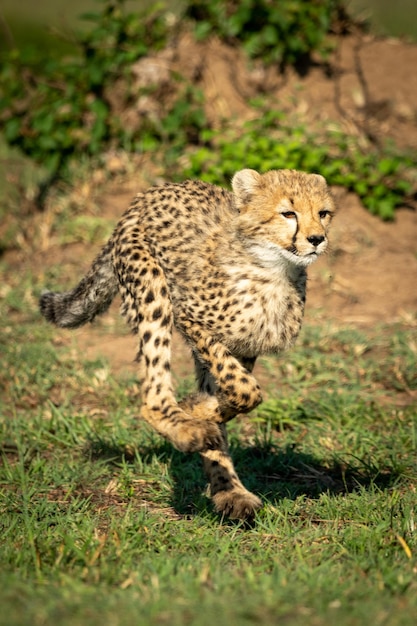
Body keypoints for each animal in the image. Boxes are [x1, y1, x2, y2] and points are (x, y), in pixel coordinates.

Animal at [39, 167, 334, 516]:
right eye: (288, 213)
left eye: (323, 213)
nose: (317, 239)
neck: (273, 270)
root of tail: (148, 195)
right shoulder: (190, 320)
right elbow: (246, 390)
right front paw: (194, 412)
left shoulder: (245, 346)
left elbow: (238, 394)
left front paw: (199, 407)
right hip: (152, 286)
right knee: (153, 396)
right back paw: (187, 431)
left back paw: (229, 491)